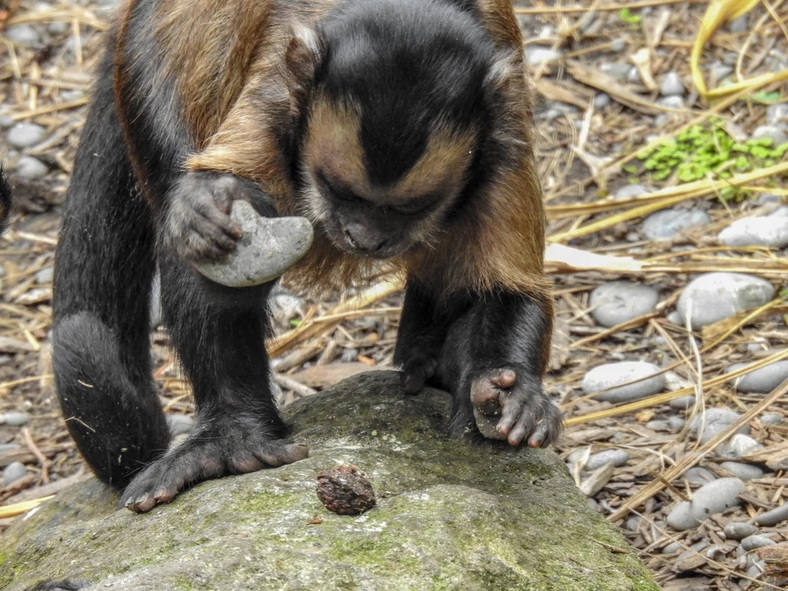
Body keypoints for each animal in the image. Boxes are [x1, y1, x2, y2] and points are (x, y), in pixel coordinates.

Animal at [50, 0, 560, 512]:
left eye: (412, 208)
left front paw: (507, 389)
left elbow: (502, 288)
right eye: (338, 189)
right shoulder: (278, 97)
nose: (363, 238)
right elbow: (217, 244)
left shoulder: (503, 137)